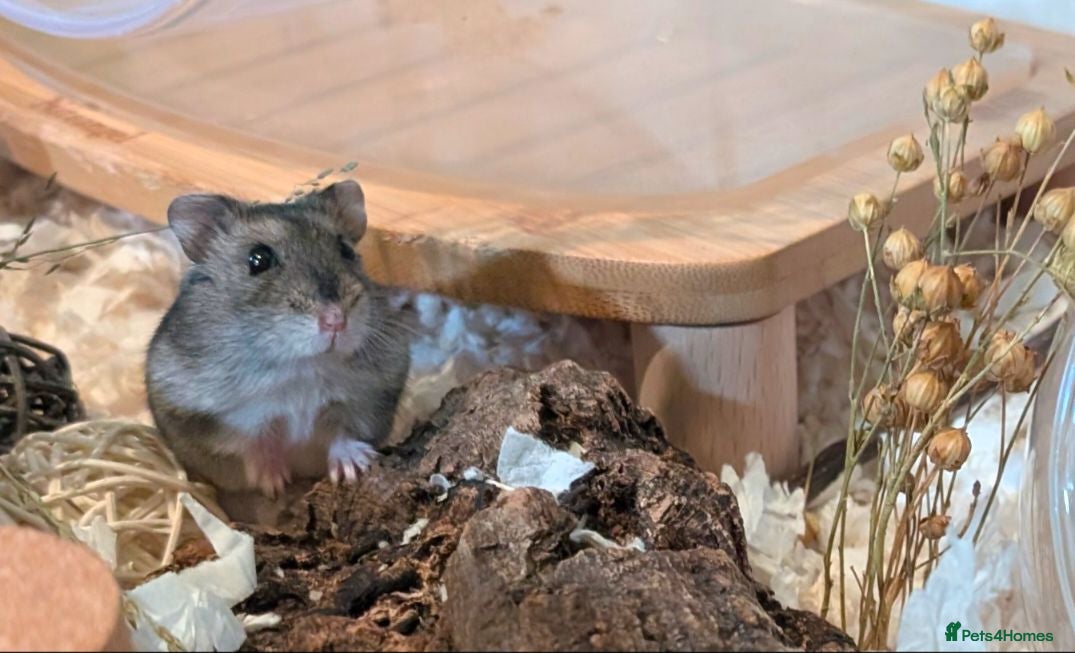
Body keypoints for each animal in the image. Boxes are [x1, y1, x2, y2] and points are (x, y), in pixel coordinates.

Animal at [145, 180, 411, 497]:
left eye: (345, 249)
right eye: (258, 259)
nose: (336, 320)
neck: (301, 366)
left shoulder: (371, 395)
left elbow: (344, 430)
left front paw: (353, 466)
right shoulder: (203, 415)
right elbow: (248, 443)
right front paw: (273, 482)